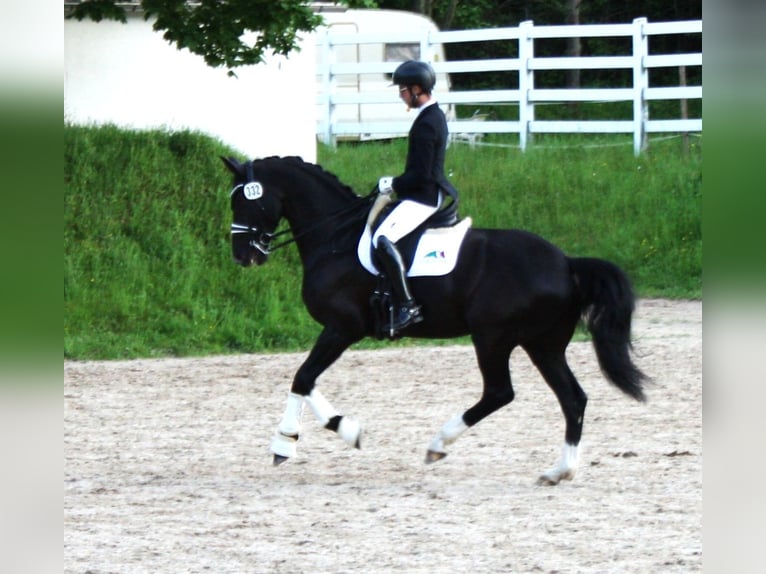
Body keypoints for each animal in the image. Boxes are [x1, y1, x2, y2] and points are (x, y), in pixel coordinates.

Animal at [222, 154, 648, 486]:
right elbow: (306, 379)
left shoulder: (343, 327)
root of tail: (567, 264)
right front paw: (330, 432)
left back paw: (438, 445)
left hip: (492, 337)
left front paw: (294, 441)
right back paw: (560, 471)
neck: (334, 236)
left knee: (500, 392)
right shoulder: (341, 330)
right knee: (572, 398)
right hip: (542, 345)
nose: (243, 255)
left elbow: (303, 377)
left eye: (244, 201)